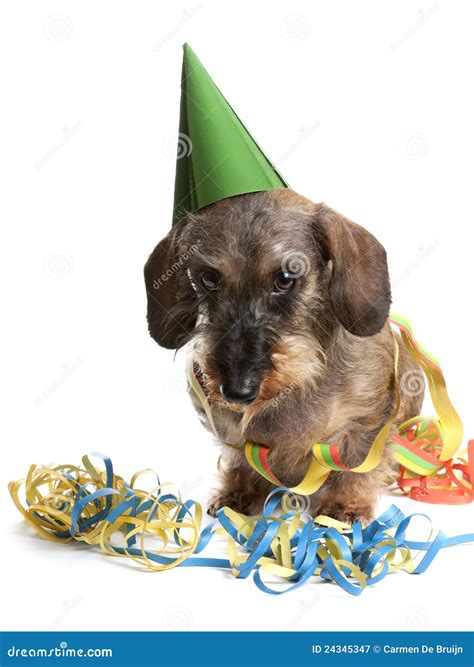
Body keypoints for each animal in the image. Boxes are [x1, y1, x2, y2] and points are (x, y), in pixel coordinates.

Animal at [145, 188, 426, 520]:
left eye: (285, 278)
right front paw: (240, 491)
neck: (302, 378)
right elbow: (242, 461)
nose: (237, 392)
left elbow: (356, 464)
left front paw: (345, 503)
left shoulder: (369, 420)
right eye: (209, 279)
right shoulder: (231, 430)